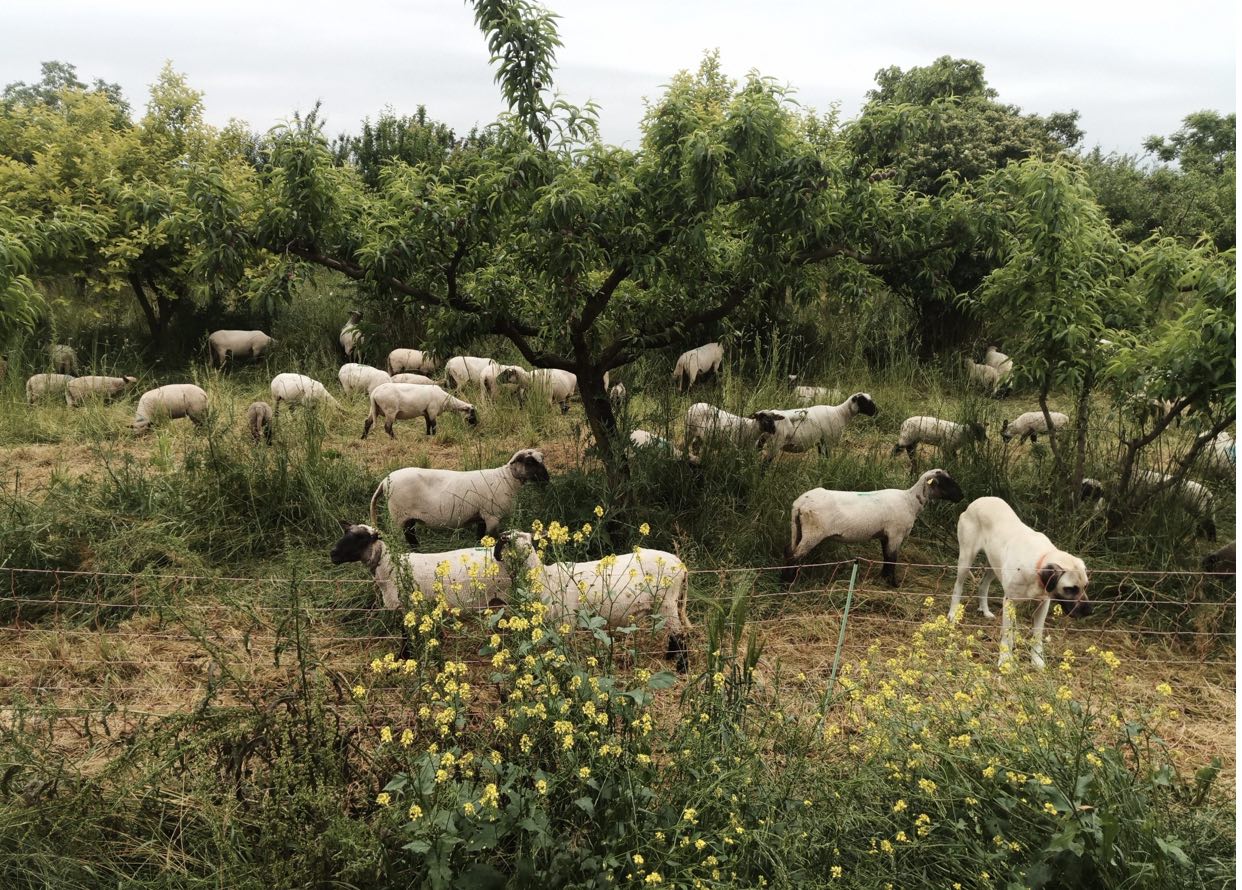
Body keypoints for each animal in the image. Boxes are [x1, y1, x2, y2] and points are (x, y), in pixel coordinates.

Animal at [365, 446, 546, 546]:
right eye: (529, 462)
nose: (546, 479)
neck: (506, 479)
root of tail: (384, 482)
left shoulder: (481, 516)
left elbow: (480, 537)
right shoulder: (492, 516)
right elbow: (490, 537)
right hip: (400, 516)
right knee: (407, 539)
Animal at [494, 531, 695, 670]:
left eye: (528, 540)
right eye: (512, 541)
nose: (527, 551)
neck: (546, 577)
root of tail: (681, 565)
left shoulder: (566, 619)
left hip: (667, 602)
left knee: (680, 634)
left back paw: (682, 668)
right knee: (674, 633)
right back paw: (669, 658)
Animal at [784, 469, 958, 585]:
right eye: (946, 482)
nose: (961, 496)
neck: (910, 501)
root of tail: (800, 503)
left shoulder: (885, 535)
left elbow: (886, 556)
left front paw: (884, 578)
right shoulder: (895, 534)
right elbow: (892, 558)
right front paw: (893, 583)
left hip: (796, 528)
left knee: (789, 552)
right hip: (813, 533)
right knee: (794, 556)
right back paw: (788, 583)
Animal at [943, 494, 1092, 665]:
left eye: (1085, 586)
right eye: (1070, 589)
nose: (1089, 611)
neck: (1039, 562)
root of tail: (978, 500)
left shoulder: (1043, 604)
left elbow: (1037, 635)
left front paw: (1037, 661)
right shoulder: (1010, 601)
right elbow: (1007, 634)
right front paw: (1005, 659)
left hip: (994, 566)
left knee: (983, 585)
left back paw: (985, 610)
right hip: (966, 559)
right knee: (958, 586)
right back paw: (953, 614)